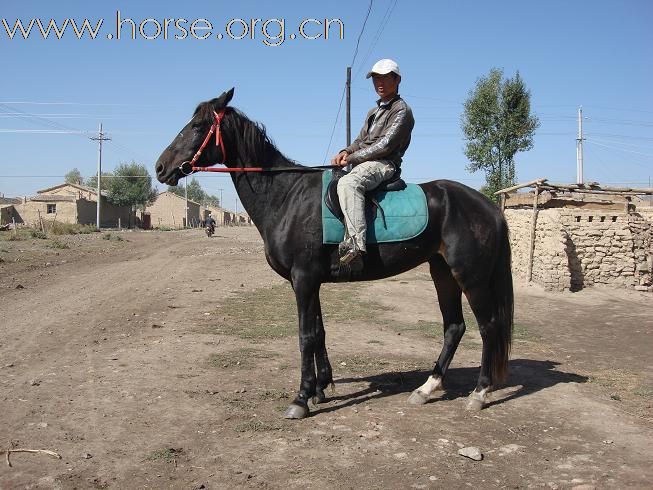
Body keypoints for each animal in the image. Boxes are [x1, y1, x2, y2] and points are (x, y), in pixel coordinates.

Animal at [155, 88, 512, 418]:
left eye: (197, 125)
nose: (160, 167)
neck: (286, 197)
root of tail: (488, 207)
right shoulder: (308, 281)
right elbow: (319, 331)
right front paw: (321, 388)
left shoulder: (303, 279)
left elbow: (306, 334)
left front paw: (301, 398)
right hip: (442, 272)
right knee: (454, 327)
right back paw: (427, 388)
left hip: (471, 277)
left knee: (488, 326)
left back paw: (479, 393)